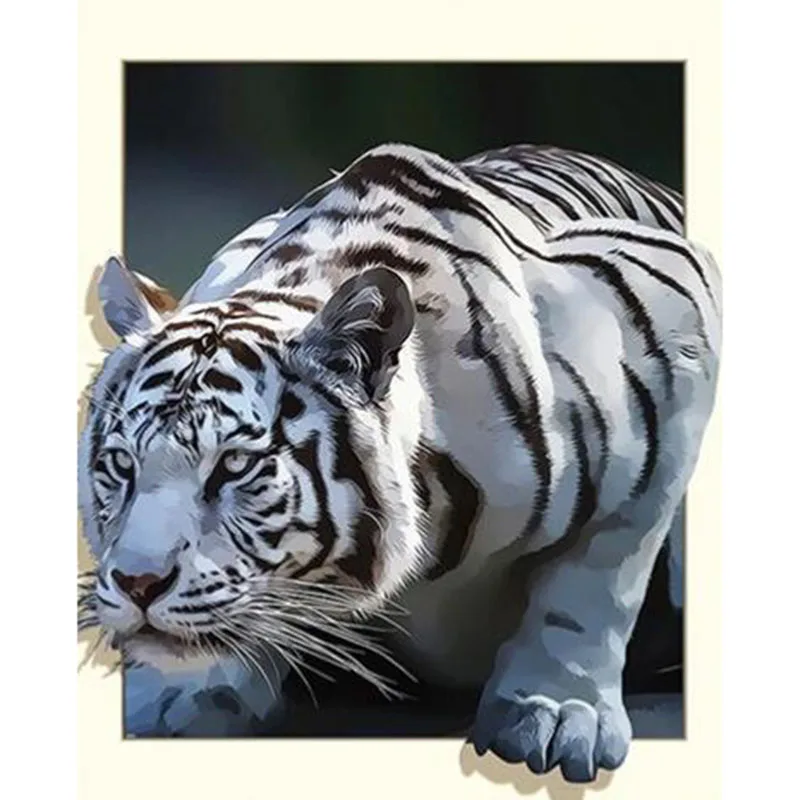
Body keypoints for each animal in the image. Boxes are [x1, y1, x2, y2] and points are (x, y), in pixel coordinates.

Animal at [78, 142, 720, 783]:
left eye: (235, 465)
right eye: (121, 464)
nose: (137, 585)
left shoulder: (674, 319)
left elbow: (597, 578)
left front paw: (555, 711)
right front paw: (181, 690)